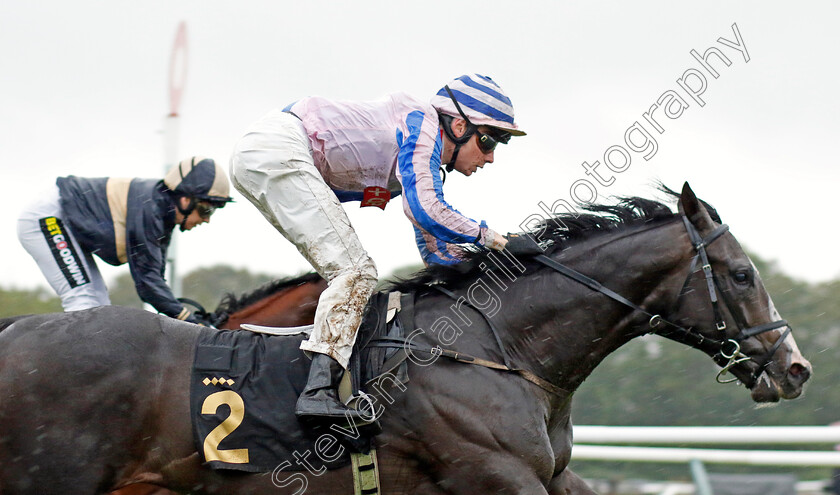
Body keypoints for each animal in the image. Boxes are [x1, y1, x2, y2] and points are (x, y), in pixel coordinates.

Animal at [0, 184, 812, 494]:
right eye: (742, 274)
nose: (797, 367)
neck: (500, 350)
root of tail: (18, 333)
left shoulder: (550, 475)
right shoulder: (494, 475)